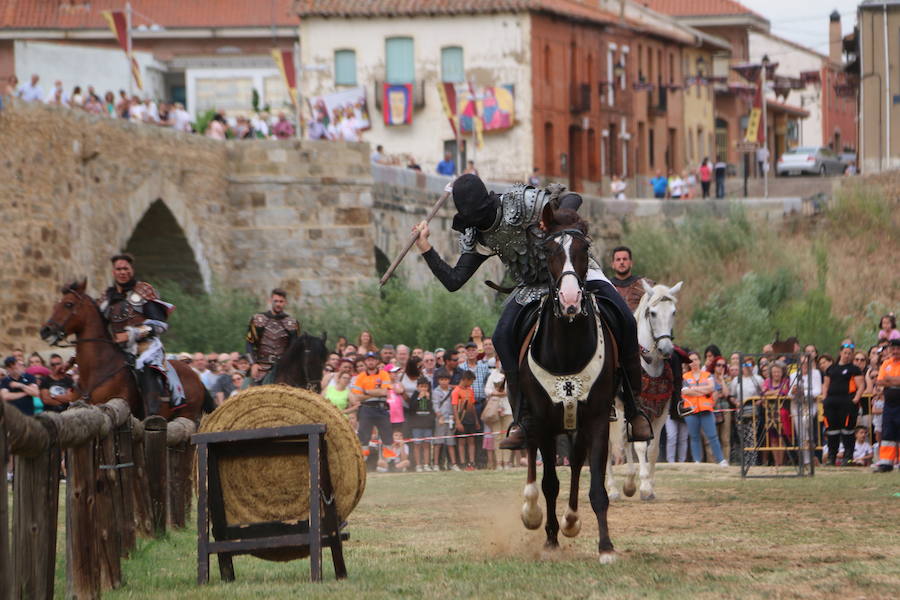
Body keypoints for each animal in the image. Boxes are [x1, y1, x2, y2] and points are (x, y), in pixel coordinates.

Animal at [40, 278, 214, 422]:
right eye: (55, 305)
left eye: (68, 304)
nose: (45, 331)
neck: (97, 369)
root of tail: (197, 377)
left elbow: (157, 323)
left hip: (187, 414)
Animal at [520, 205, 620, 564]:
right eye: (548, 250)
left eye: (584, 249)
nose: (570, 298)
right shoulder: (544, 421)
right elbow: (550, 482)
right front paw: (550, 539)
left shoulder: (597, 419)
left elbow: (596, 487)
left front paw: (606, 547)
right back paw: (534, 512)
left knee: (576, 462)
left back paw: (572, 519)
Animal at [608, 282, 680, 502]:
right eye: (652, 313)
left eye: (673, 312)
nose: (666, 349)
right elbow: (639, 444)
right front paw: (645, 486)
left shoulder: (661, 412)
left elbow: (654, 448)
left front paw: (647, 485)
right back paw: (612, 489)